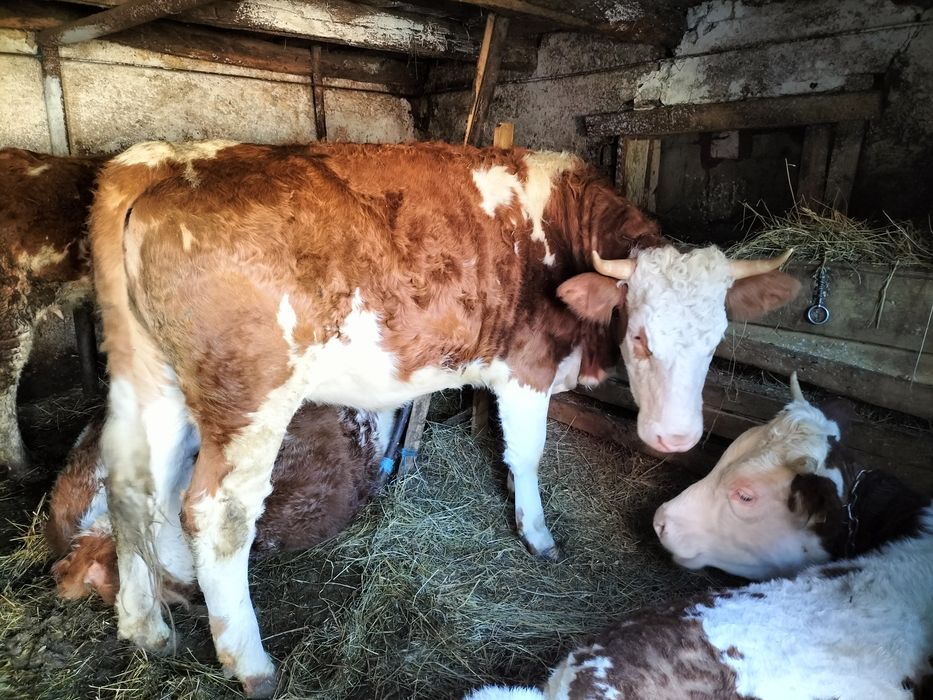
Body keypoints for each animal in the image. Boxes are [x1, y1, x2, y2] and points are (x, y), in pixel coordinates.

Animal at [89, 140, 798, 695]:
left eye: (717, 338)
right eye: (641, 334)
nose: (676, 437)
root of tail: (168, 160)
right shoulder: (527, 365)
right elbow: (527, 453)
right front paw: (537, 537)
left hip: (151, 382)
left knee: (133, 486)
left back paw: (147, 624)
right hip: (248, 396)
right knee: (214, 512)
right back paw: (250, 661)